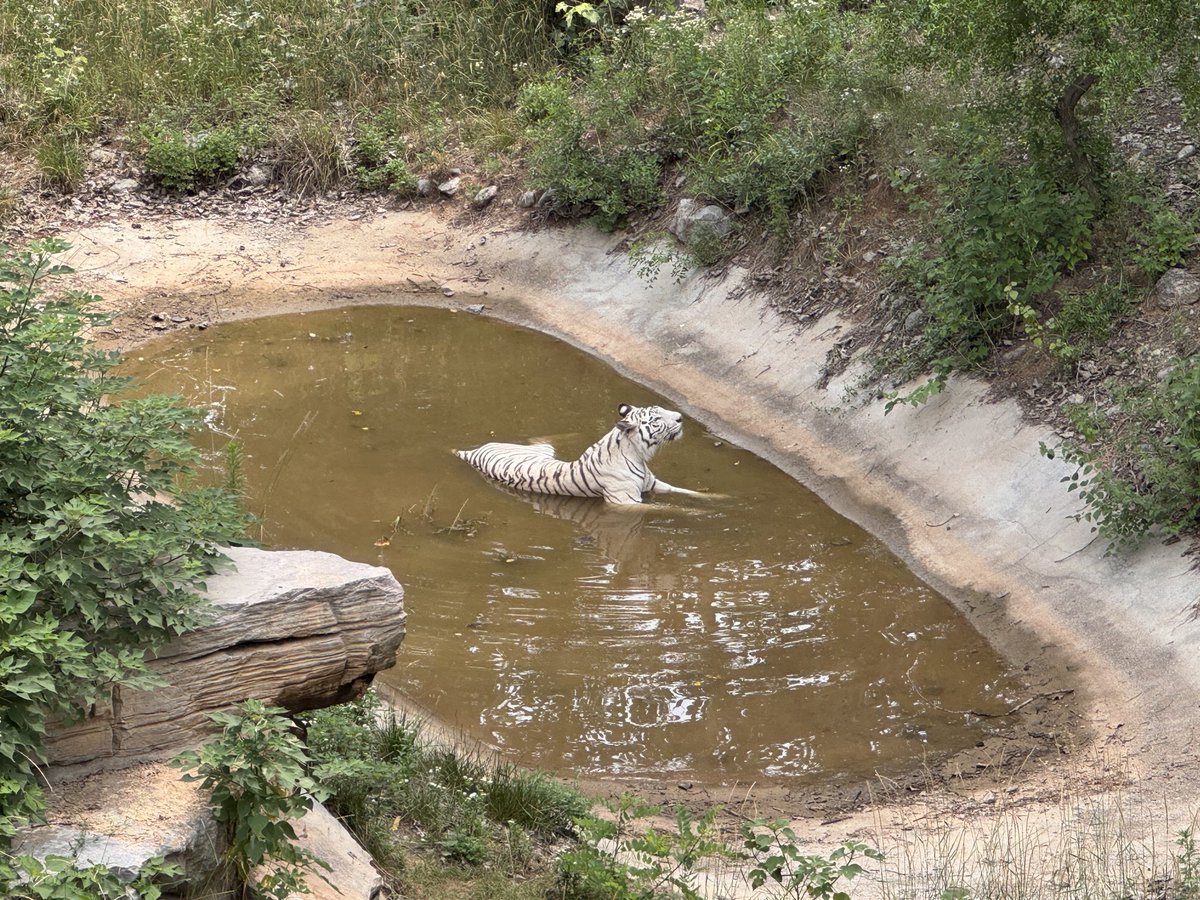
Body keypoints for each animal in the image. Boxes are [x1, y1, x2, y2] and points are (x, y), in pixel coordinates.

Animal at [454, 403, 707, 505]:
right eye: (656, 419)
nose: (680, 418)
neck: (636, 454)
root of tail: (474, 451)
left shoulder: (652, 483)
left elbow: (688, 492)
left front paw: (714, 499)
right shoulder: (625, 501)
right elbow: (668, 509)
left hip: (541, 449)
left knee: (540, 439)